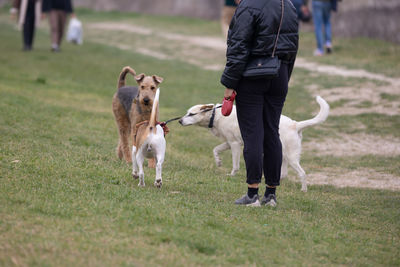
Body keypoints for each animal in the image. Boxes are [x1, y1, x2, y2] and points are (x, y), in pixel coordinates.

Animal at [180, 96, 330, 193]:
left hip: (291, 157)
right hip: (282, 155)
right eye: (187, 113)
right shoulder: (229, 142)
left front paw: (231, 175)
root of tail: (295, 124)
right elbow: (215, 149)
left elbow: (235, 165)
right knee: (284, 174)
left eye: (191, 114)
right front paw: (218, 162)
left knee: (302, 173)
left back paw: (303, 190)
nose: (180, 121)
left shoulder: (235, 144)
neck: (215, 115)